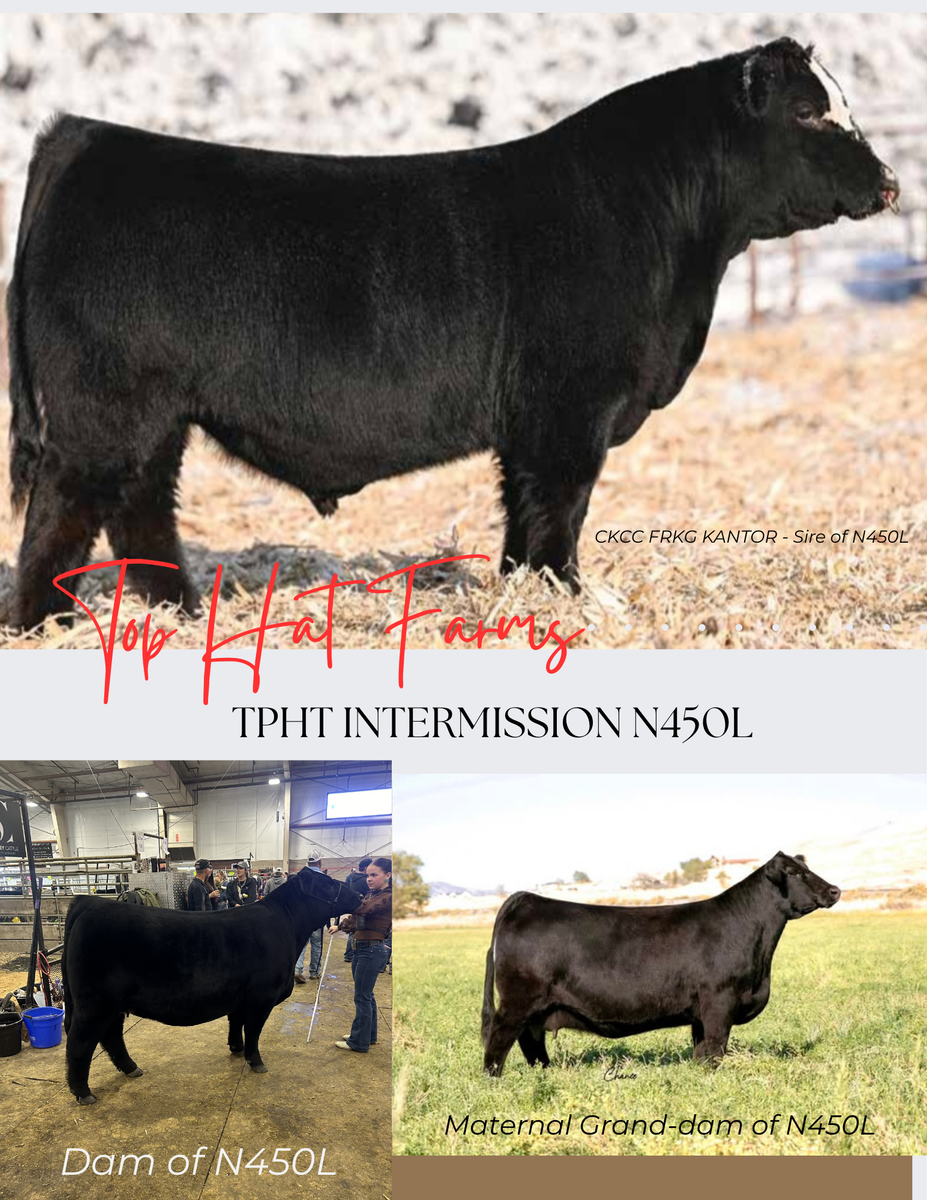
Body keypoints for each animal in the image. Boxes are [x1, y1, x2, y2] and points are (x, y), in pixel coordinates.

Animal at [8, 38, 899, 629]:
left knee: (139, 509)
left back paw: (183, 615)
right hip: (103, 409)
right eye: (809, 112)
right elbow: (558, 510)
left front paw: (526, 590)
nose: (890, 182)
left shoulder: (537, 424)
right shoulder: (566, 411)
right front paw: (566, 595)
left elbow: (524, 515)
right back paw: (42, 624)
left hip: (157, 418)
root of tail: (87, 134)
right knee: (63, 510)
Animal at [60, 867, 360, 1104]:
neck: (287, 926)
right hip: (94, 1004)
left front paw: (236, 1049)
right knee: (80, 1042)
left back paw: (131, 1068)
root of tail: (88, 904)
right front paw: (256, 1061)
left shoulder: (241, 997)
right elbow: (253, 1031)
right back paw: (83, 1093)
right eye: (329, 883)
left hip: (111, 1005)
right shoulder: (261, 997)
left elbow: (236, 1023)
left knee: (111, 1036)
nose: (359, 896)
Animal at [481, 851, 840, 1076]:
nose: (835, 890)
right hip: (518, 1000)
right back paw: (494, 1080)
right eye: (795, 873)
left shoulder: (700, 1012)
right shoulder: (719, 1002)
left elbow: (702, 1051)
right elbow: (716, 1048)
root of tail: (525, 899)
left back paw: (545, 1074)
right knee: (499, 1039)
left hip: (538, 1007)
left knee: (531, 1041)